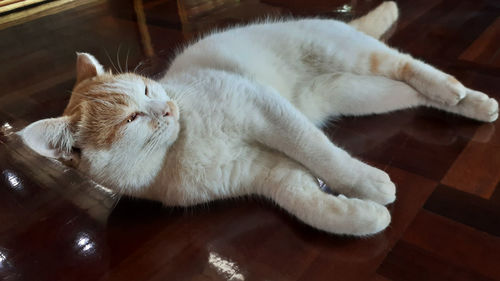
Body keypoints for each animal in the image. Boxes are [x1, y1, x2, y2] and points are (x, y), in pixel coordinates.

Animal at [17, 1, 498, 234]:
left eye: (150, 90)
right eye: (133, 118)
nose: (168, 108)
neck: (179, 148)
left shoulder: (265, 109)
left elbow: (320, 152)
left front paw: (366, 184)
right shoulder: (268, 174)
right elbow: (309, 204)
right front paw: (364, 218)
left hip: (351, 56)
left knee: (410, 66)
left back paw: (460, 91)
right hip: (366, 94)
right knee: (413, 92)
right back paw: (473, 104)